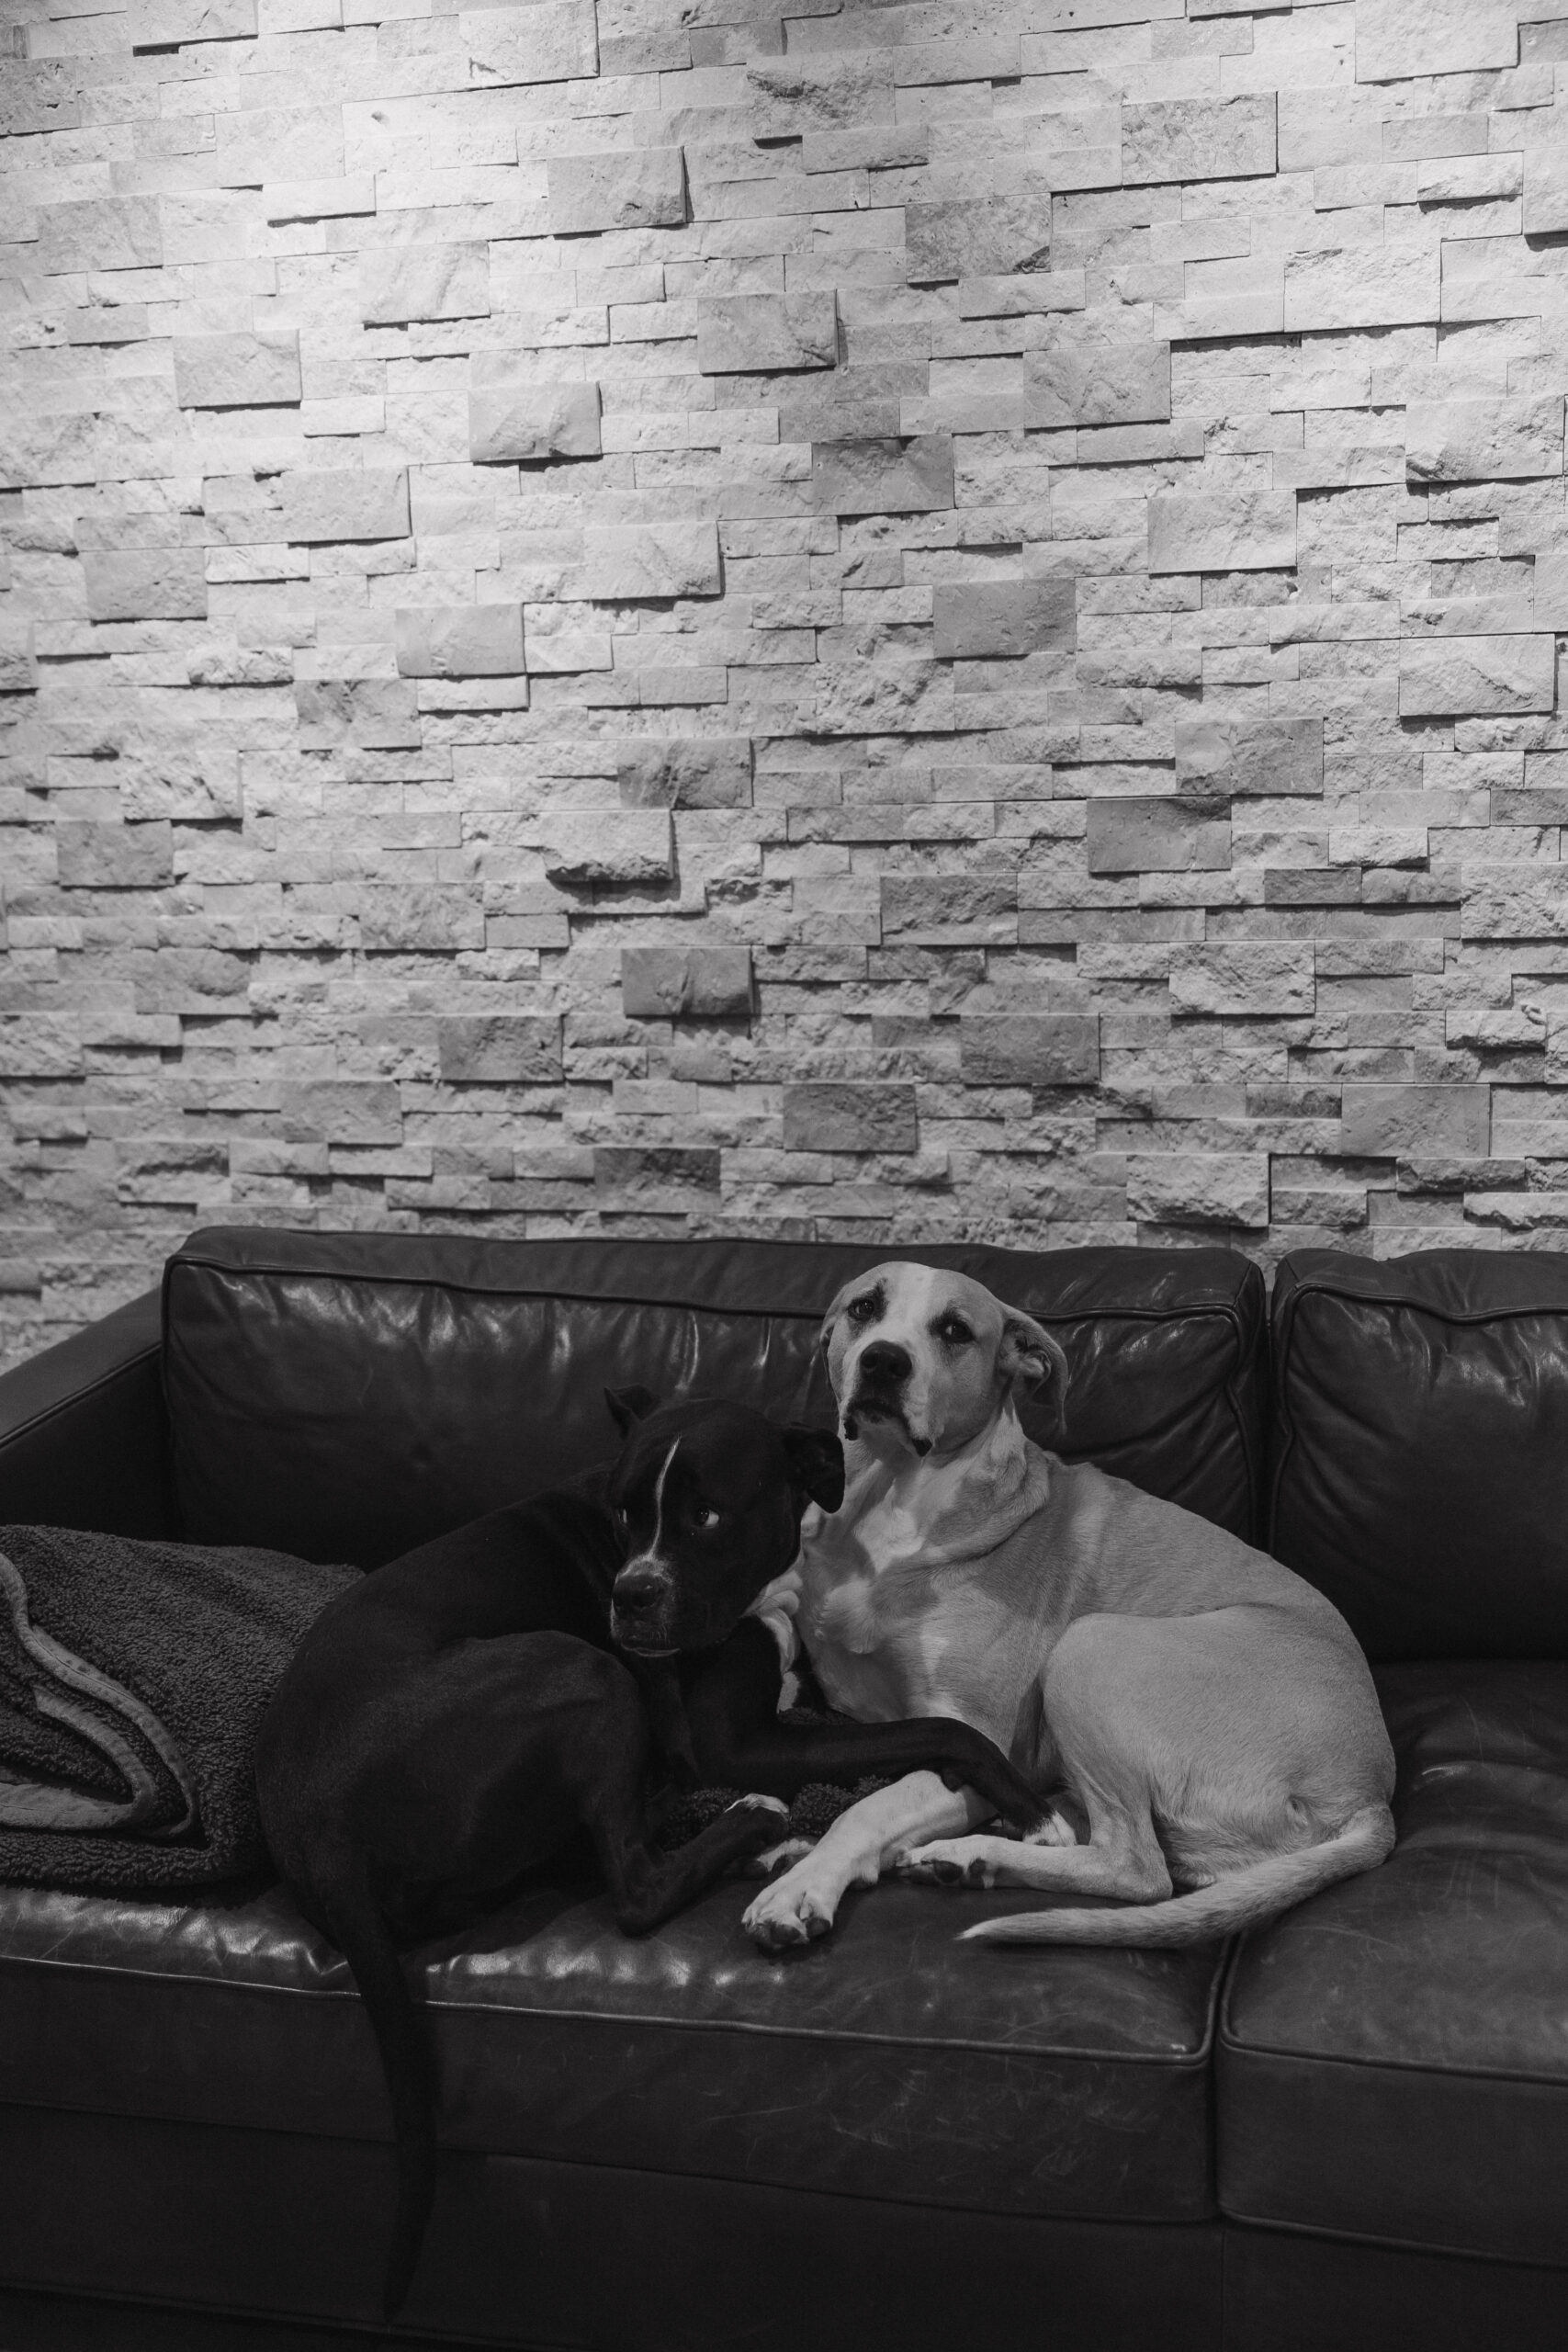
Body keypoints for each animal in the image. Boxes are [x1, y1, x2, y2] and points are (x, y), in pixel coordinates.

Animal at [257, 1383, 1043, 2324]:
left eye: (706, 1516)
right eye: (624, 1515)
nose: (630, 1595)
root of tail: (321, 1834)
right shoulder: (732, 1740)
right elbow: (940, 1727)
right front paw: (1020, 1796)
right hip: (580, 1668)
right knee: (630, 1886)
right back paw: (753, 1827)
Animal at [747, 1270, 1401, 1947]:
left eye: (954, 1330)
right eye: (864, 1307)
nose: (882, 1360)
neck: (890, 1496)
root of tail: (1369, 1795)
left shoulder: (977, 1737)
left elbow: (868, 1807)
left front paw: (802, 1888)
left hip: (1090, 1648)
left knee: (1136, 1867)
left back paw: (972, 1855)